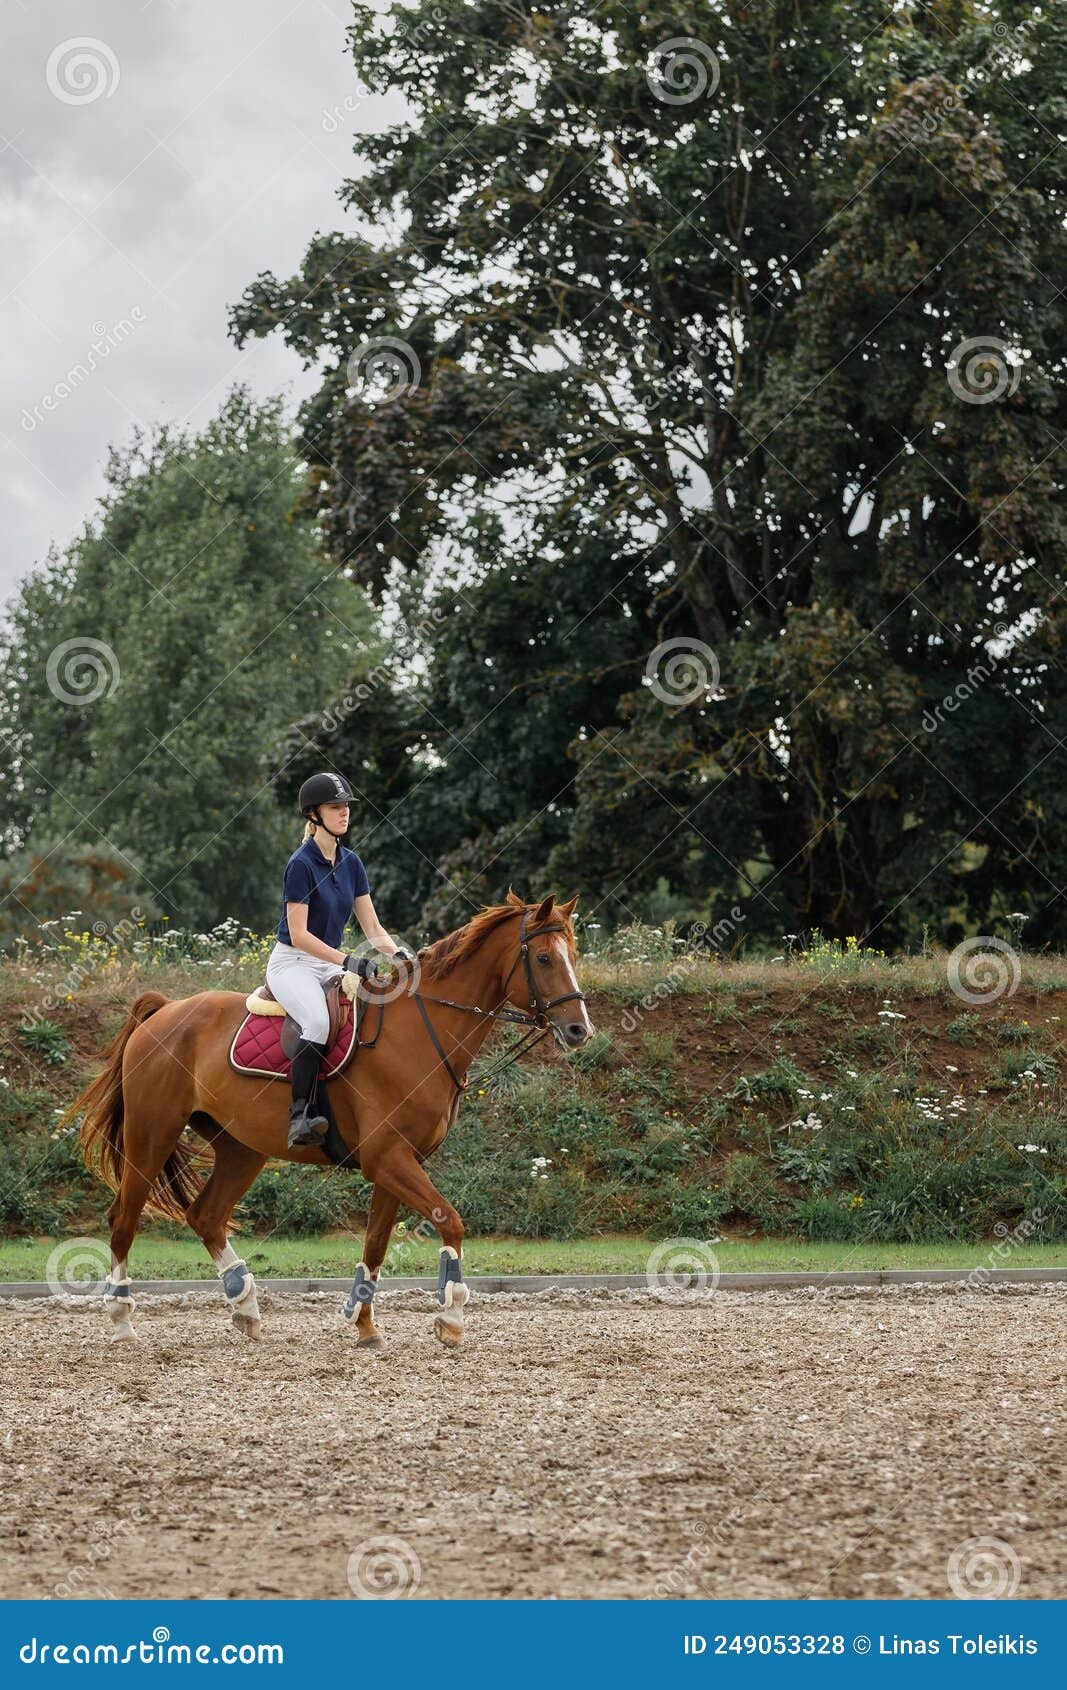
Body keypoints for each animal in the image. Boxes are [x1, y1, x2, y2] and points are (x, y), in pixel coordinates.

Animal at [63, 885, 591, 1345]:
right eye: (544, 958)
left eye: (573, 955)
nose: (579, 1030)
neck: (420, 1032)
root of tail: (166, 1010)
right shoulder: (387, 1158)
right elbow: (452, 1221)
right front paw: (451, 1317)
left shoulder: (396, 1163)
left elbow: (376, 1244)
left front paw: (364, 1323)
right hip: (151, 1135)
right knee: (123, 1218)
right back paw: (122, 1321)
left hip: (241, 1148)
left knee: (206, 1216)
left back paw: (246, 1307)